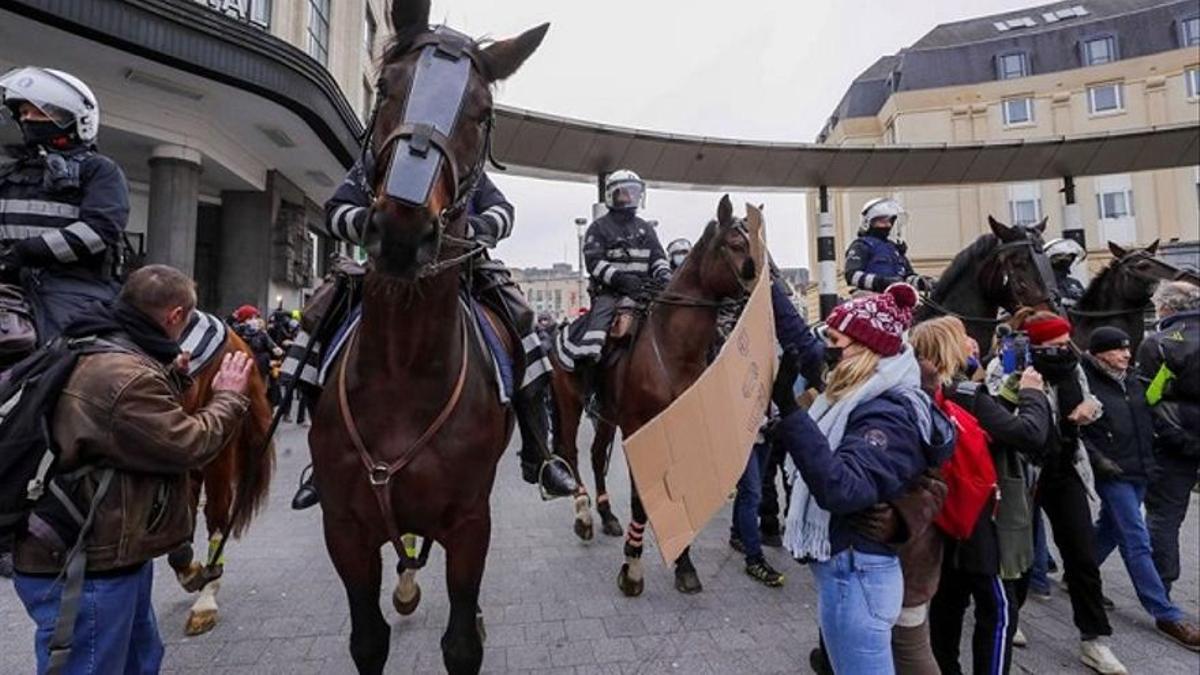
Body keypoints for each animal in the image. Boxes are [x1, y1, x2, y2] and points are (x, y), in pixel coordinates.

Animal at [304, 2, 549, 667]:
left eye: (483, 113)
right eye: (387, 88)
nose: (402, 232)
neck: (402, 374)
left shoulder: (469, 523)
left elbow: (461, 641)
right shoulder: (344, 529)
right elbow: (368, 640)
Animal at [552, 195, 758, 593]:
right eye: (735, 244)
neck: (672, 350)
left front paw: (685, 565)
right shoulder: (639, 428)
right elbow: (641, 500)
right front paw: (632, 567)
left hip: (606, 416)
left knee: (597, 454)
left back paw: (606, 514)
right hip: (569, 403)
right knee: (570, 451)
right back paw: (584, 515)